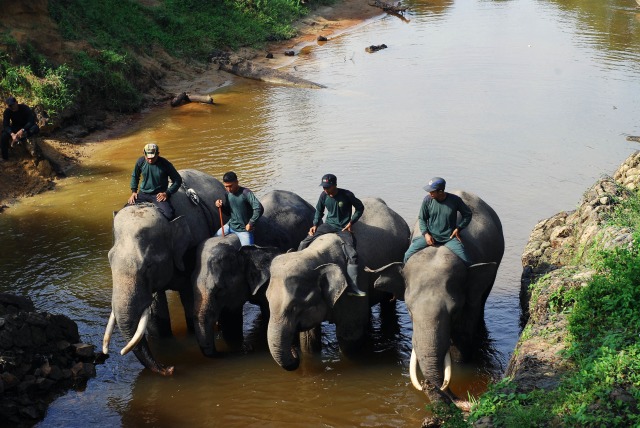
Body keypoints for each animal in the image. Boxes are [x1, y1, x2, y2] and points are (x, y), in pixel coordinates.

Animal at [102, 167, 228, 374]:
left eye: (148, 266)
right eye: (110, 260)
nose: (169, 368)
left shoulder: (190, 249)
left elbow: (190, 297)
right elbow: (155, 309)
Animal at [266, 197, 410, 372]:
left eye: (293, 307)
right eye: (267, 301)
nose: (294, 353)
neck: (314, 254)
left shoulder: (351, 288)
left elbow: (349, 336)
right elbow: (308, 338)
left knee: (387, 303)